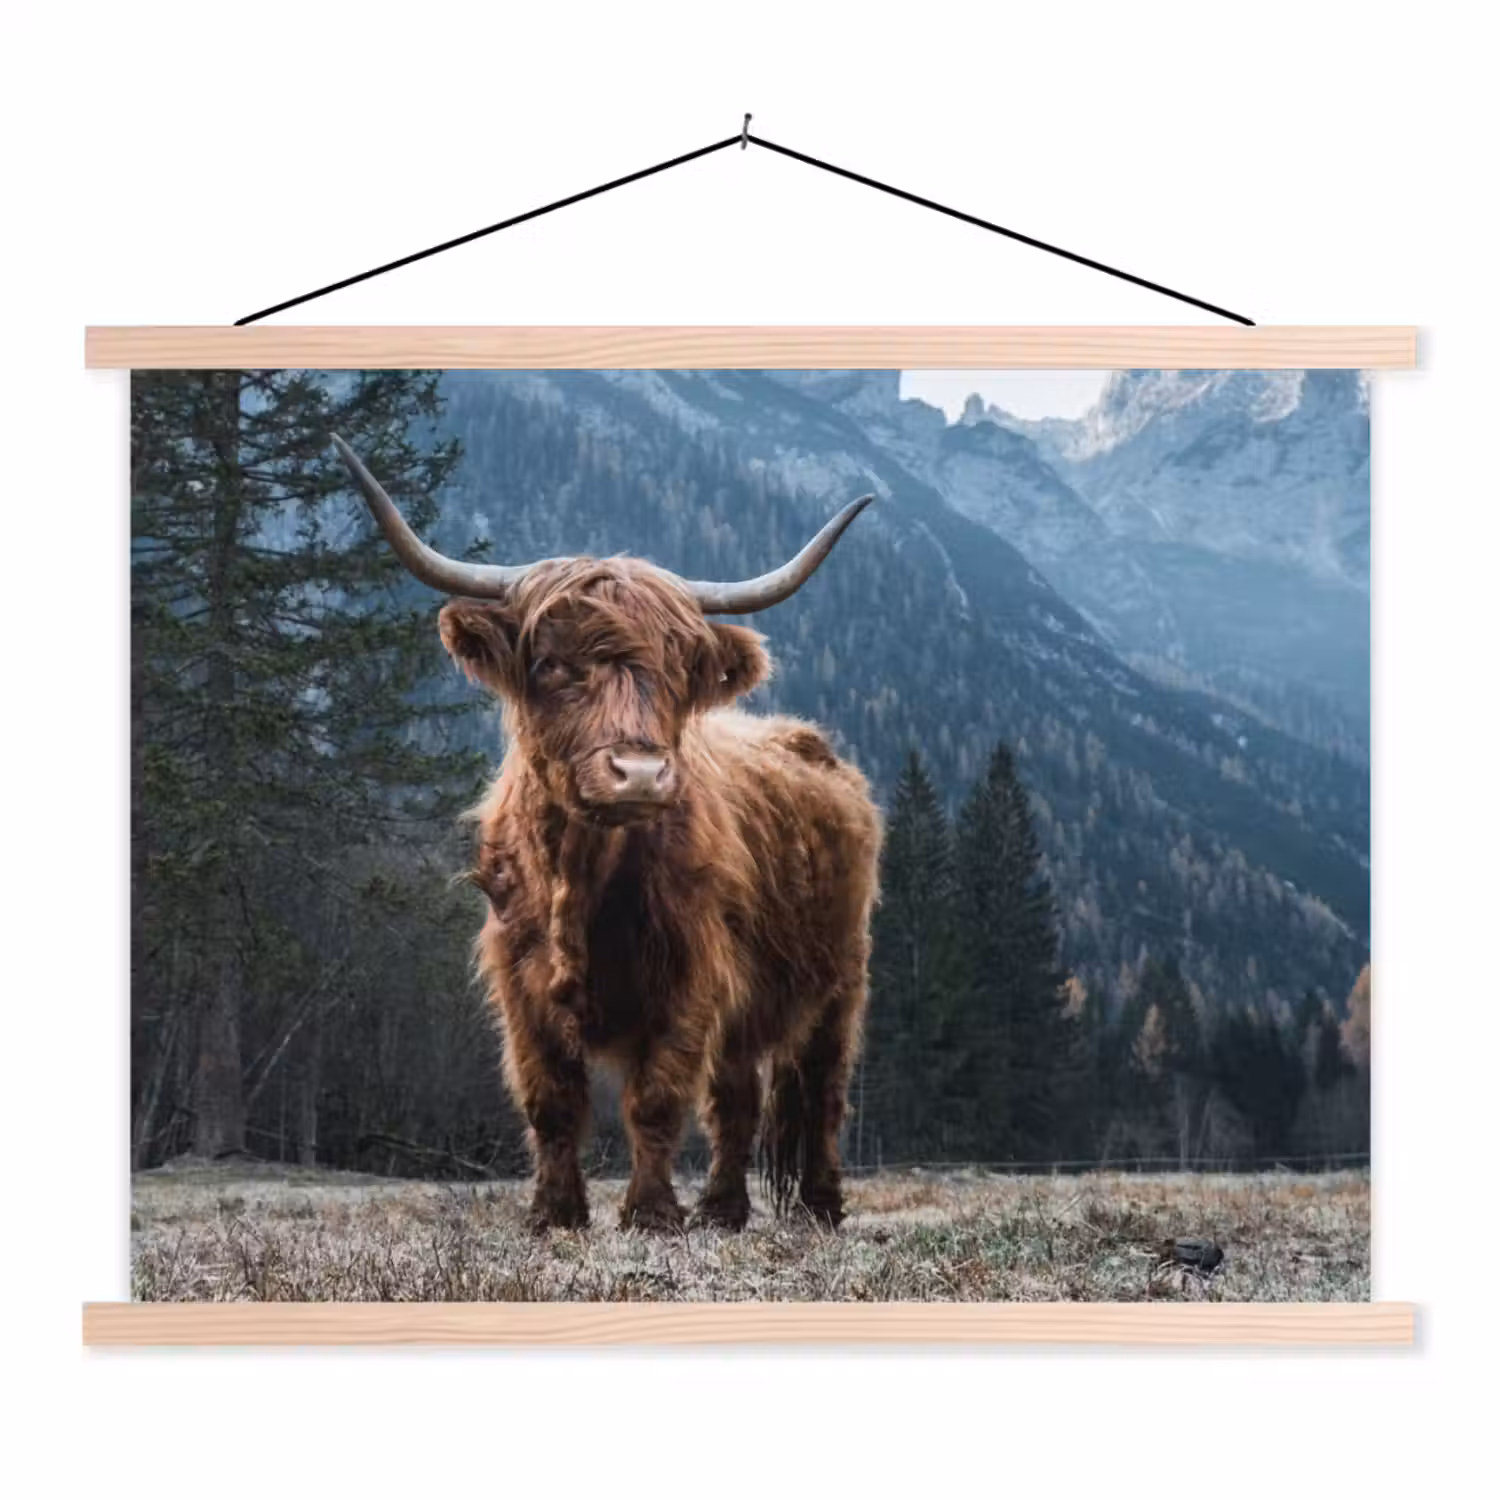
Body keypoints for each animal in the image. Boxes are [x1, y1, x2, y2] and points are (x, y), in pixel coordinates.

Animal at [332, 436, 882, 1233]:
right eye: (552, 663)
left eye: (679, 669)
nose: (641, 774)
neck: (581, 876)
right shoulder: (520, 982)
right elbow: (551, 1101)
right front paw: (554, 1213)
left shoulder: (690, 976)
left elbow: (656, 1099)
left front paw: (650, 1213)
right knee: (738, 1100)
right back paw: (722, 1209)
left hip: (841, 979)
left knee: (822, 1093)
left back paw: (819, 1206)